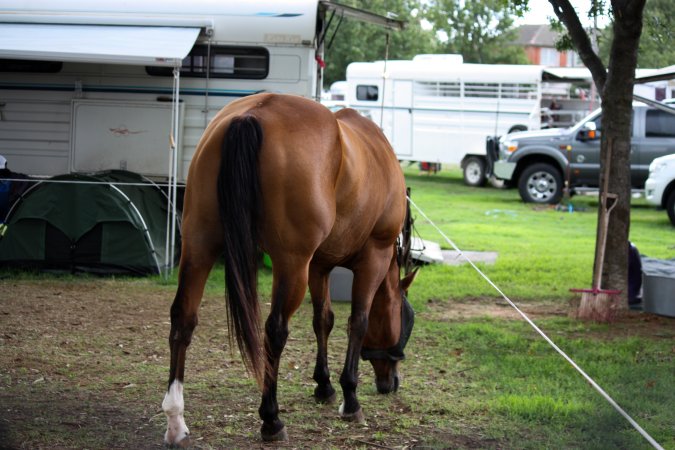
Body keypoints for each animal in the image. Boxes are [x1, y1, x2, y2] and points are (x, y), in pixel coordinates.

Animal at [162, 92, 417, 445]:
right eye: (406, 322)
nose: (391, 382)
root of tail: (253, 114)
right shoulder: (372, 258)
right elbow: (358, 322)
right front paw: (350, 396)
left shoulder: (319, 266)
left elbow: (323, 320)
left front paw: (324, 386)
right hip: (291, 264)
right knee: (275, 330)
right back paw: (271, 419)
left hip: (199, 246)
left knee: (183, 319)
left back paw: (176, 419)